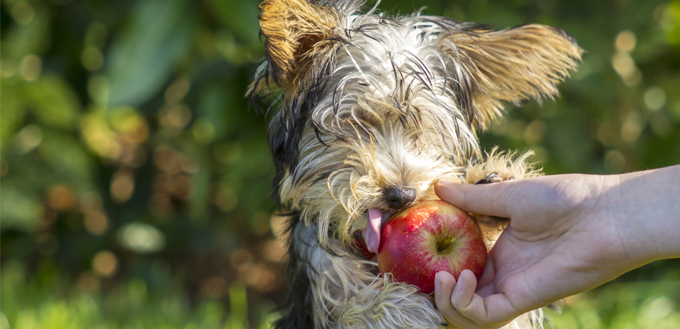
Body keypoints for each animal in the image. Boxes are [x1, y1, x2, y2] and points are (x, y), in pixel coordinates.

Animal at [247, 1, 580, 326]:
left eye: (426, 131)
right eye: (356, 123)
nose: (402, 195)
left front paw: (494, 189)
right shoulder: (320, 280)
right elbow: (353, 308)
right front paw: (402, 307)